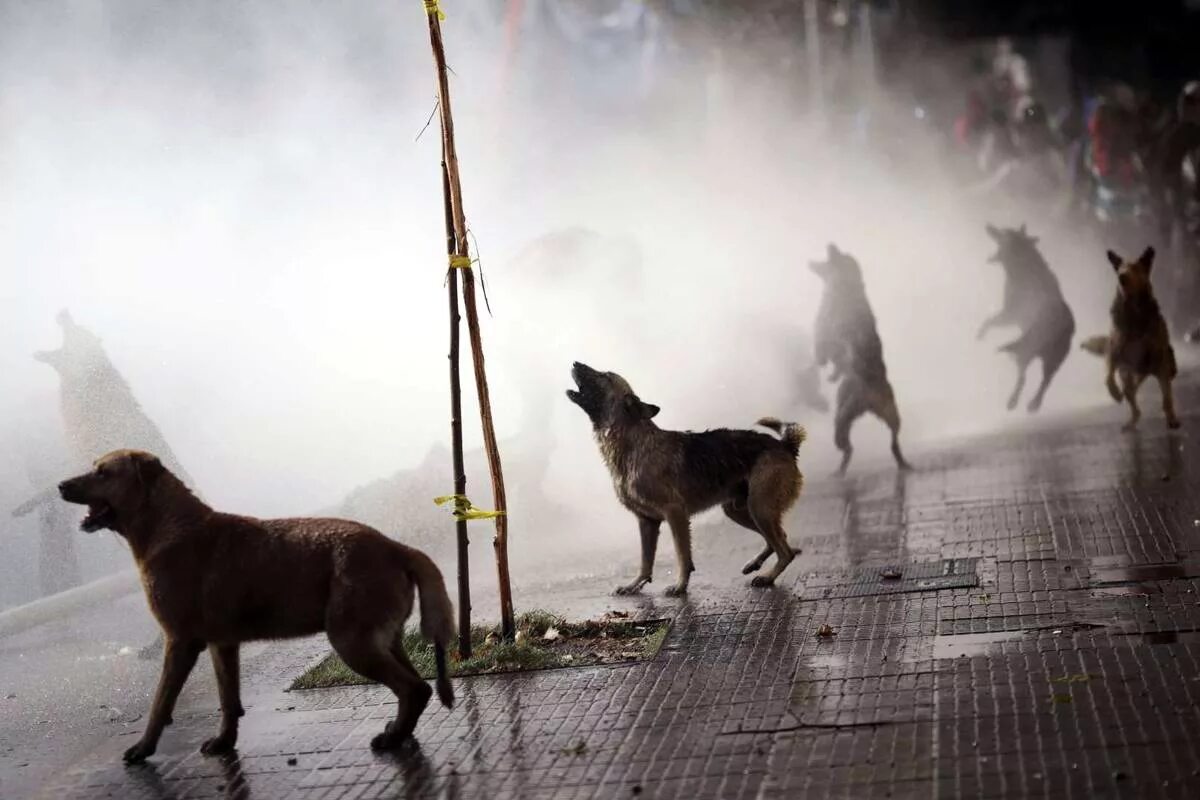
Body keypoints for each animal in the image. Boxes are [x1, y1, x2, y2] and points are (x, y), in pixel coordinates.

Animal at [564, 362, 806, 594]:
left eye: (604, 375)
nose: (575, 362)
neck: (632, 443)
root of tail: (784, 445)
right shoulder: (647, 522)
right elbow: (645, 561)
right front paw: (635, 585)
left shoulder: (675, 514)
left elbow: (682, 556)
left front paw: (680, 586)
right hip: (738, 511)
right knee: (781, 538)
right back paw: (755, 564)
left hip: (758, 509)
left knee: (785, 551)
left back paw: (767, 577)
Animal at [811, 244, 912, 474]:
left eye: (842, 254)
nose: (830, 243)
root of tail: (867, 403)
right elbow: (831, 358)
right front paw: (831, 371)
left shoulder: (830, 332)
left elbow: (825, 349)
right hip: (851, 413)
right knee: (853, 446)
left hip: (878, 415)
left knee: (888, 442)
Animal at [1080, 248, 1180, 431]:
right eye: (1120, 268)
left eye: (1134, 267)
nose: (1122, 276)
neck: (1133, 312)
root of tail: (1145, 372)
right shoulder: (1114, 353)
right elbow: (1108, 377)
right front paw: (1114, 392)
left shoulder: (1159, 358)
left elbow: (1167, 397)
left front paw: (1172, 418)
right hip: (1128, 373)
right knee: (1132, 398)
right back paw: (1129, 415)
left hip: (1160, 367)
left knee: (1162, 391)